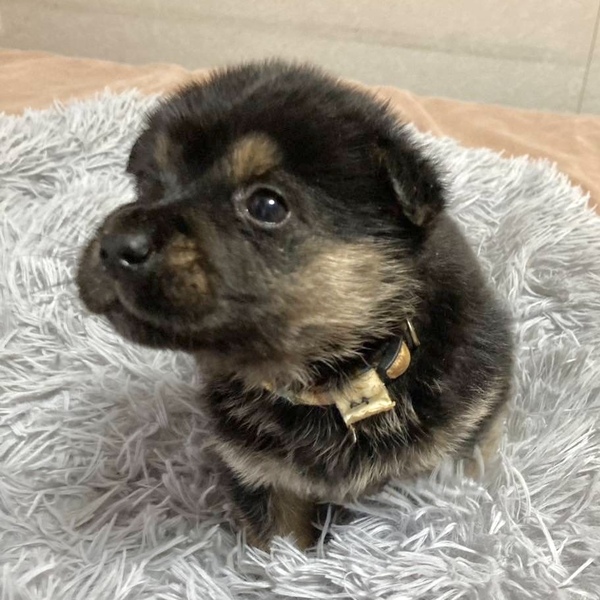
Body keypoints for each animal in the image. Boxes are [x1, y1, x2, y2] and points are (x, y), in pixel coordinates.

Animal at [77, 61, 513, 550]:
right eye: (148, 186)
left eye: (267, 205)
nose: (116, 244)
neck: (336, 387)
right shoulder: (264, 477)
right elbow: (283, 547)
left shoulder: (453, 450)